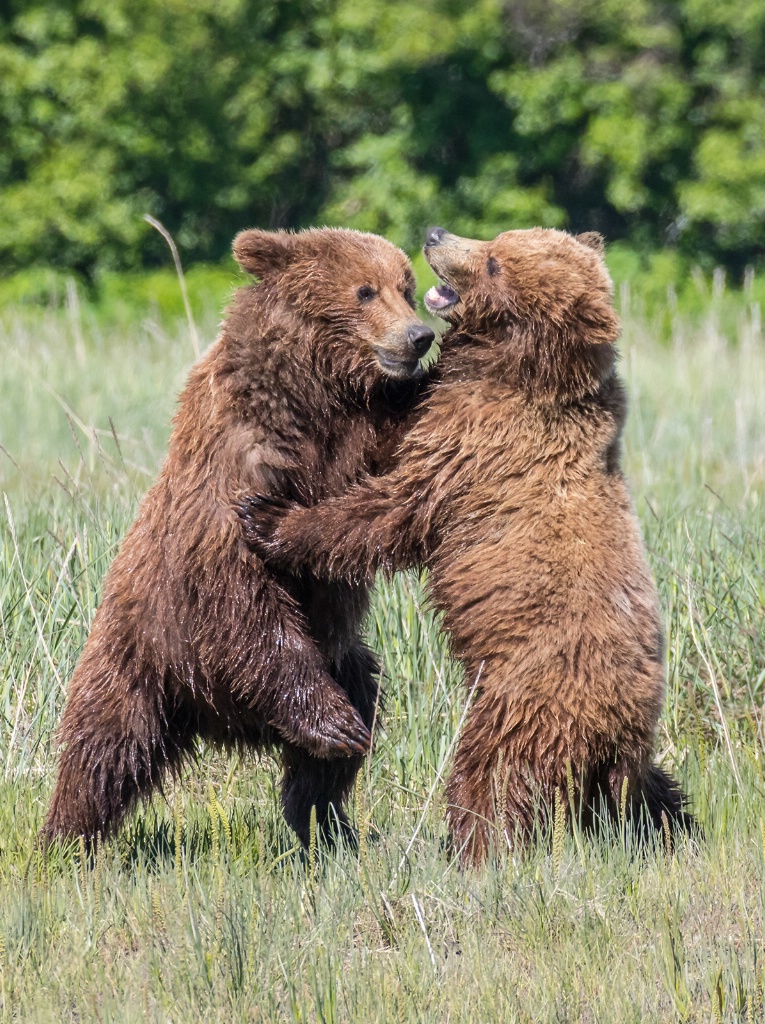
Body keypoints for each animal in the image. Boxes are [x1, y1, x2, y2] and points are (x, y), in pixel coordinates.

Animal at [43, 228, 436, 851]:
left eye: (406, 286)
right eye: (364, 290)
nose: (418, 336)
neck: (314, 393)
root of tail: (219, 721)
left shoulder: (357, 439)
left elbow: (386, 493)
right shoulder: (237, 460)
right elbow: (239, 590)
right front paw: (333, 723)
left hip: (339, 658)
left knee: (348, 715)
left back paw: (328, 822)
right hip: (141, 655)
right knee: (103, 747)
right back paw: (66, 838)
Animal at [237, 224, 692, 864]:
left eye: (496, 260)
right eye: (499, 238)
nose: (435, 234)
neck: (517, 369)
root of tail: (618, 726)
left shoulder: (475, 450)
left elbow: (391, 509)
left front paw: (269, 518)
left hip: (523, 700)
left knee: (492, 773)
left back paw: (470, 849)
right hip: (623, 748)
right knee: (646, 791)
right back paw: (677, 829)